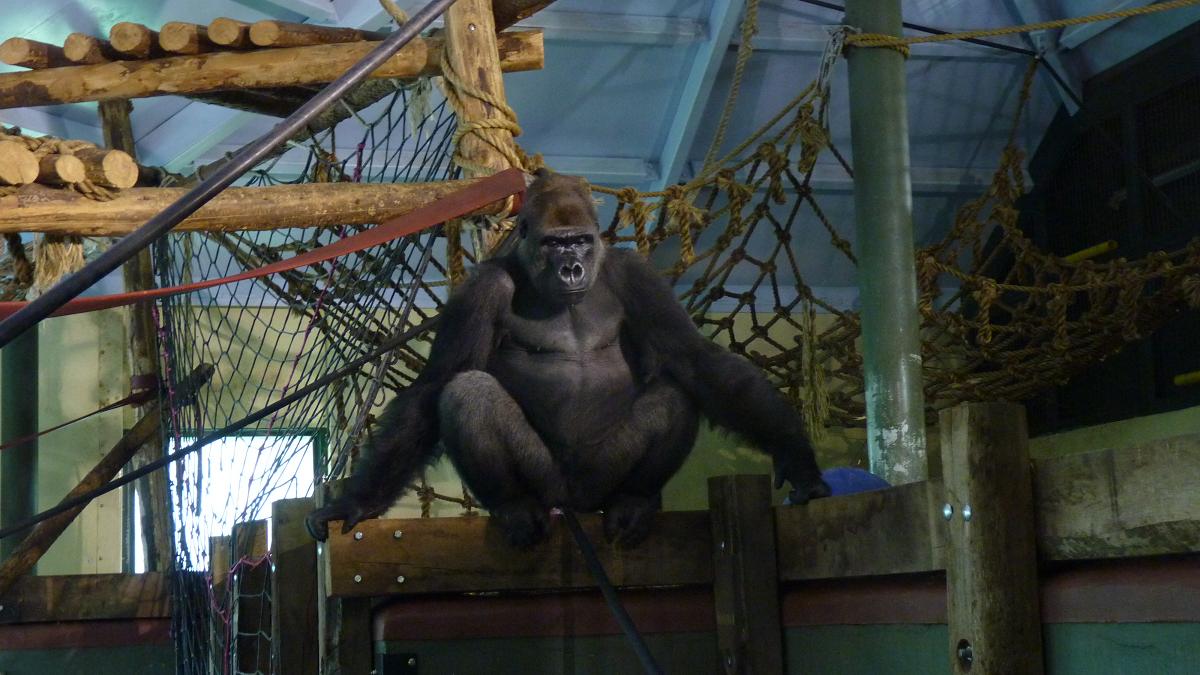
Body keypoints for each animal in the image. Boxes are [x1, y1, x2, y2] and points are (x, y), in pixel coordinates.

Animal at [307, 169, 830, 547]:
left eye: (579, 240)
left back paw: (635, 501)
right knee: (468, 394)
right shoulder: (482, 288)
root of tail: (574, 506)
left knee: (674, 395)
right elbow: (438, 384)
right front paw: (358, 501)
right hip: (549, 485)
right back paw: (514, 506)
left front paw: (798, 456)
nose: (573, 267)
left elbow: (695, 360)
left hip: (602, 479)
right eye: (553, 244)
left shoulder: (636, 274)